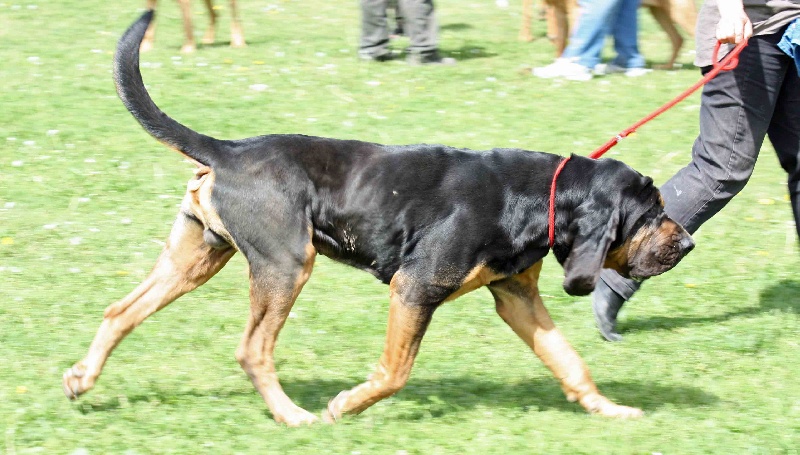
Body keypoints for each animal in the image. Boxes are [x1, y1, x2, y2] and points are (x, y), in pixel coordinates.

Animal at [62, 12, 692, 430]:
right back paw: (295, 417)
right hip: (287, 264)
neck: (541, 197)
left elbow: (570, 363)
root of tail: (229, 151)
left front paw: (610, 409)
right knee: (252, 350)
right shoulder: (414, 289)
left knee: (120, 311)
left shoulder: (517, 296)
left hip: (198, 255)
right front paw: (345, 404)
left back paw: (82, 379)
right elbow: (394, 371)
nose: (686, 242)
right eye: (652, 213)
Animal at [520, 0, 696, 69]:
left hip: (679, 12)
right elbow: (561, 42)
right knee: (677, 39)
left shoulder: (576, 10)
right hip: (660, 12)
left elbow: (574, 40)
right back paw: (666, 66)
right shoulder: (559, 12)